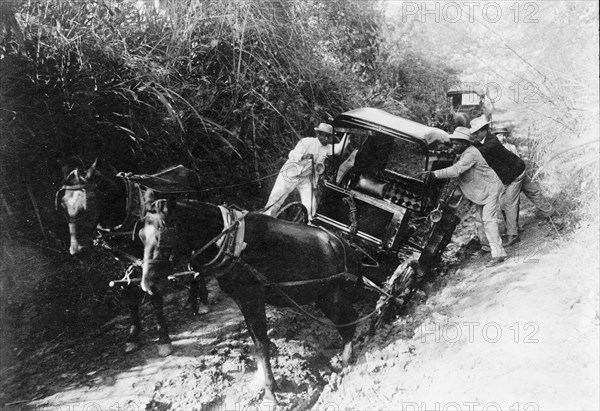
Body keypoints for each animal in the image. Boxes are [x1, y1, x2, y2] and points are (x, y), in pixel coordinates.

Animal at [56, 161, 210, 358]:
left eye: (88, 203)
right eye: (62, 205)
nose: (77, 250)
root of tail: (187, 169)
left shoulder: (148, 257)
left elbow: (153, 293)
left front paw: (164, 340)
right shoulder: (124, 259)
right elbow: (129, 293)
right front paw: (133, 337)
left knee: (196, 263)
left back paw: (203, 301)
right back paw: (191, 300)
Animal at [141, 196, 364, 402]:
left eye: (164, 236)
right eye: (141, 237)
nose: (148, 285)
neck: (232, 242)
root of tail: (345, 246)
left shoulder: (252, 298)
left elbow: (261, 344)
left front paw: (269, 391)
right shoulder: (242, 300)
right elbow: (255, 340)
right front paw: (261, 381)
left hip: (332, 298)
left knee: (349, 322)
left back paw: (346, 363)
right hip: (322, 296)